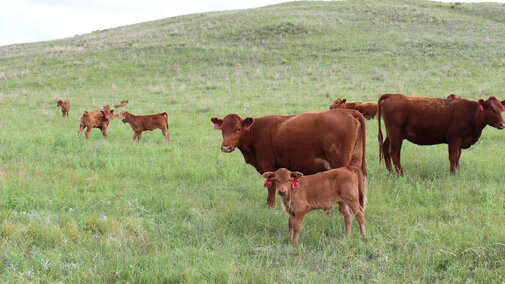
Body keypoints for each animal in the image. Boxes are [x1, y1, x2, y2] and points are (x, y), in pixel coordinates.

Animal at [210, 110, 366, 207]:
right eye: (222, 129)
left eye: (238, 129)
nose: (225, 147)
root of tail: (347, 111)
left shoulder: (268, 165)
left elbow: (271, 187)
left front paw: (270, 206)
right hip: (356, 160)